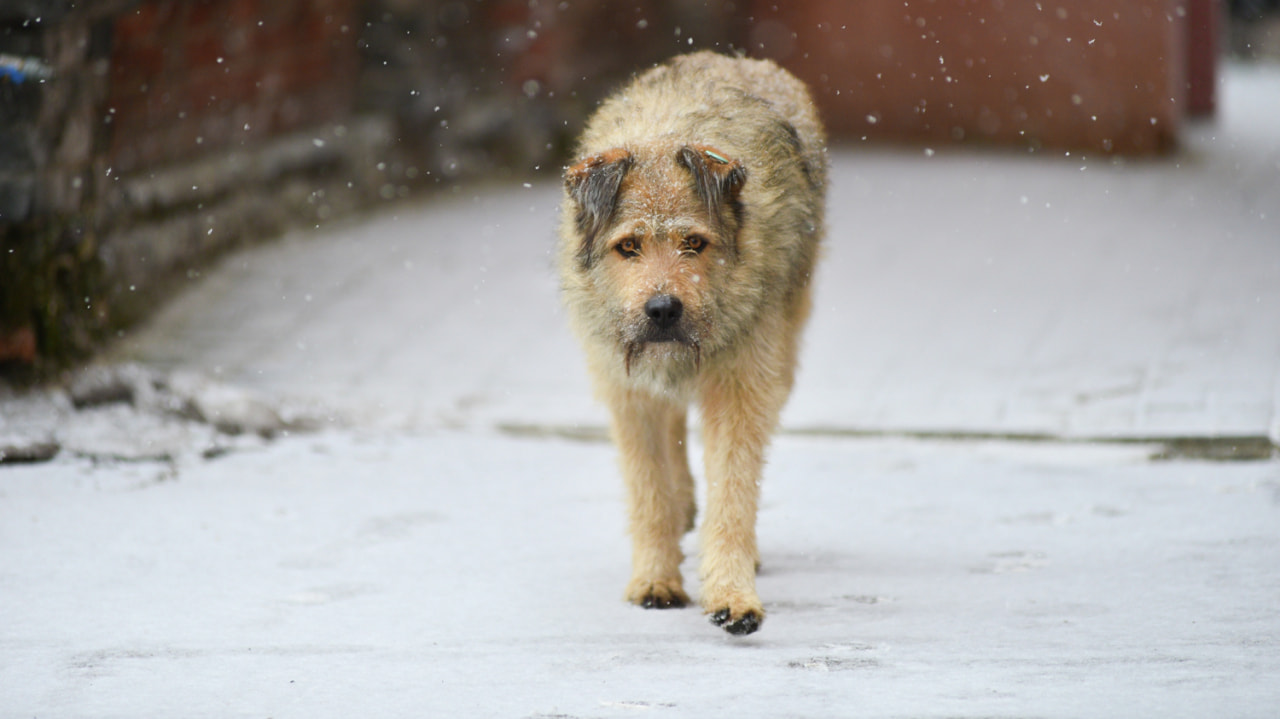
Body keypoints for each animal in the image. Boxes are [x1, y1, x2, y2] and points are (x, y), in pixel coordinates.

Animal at [555, 51, 824, 632]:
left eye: (694, 243)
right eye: (628, 246)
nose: (662, 310)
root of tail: (737, 58)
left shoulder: (741, 386)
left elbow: (734, 489)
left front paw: (731, 592)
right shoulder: (627, 393)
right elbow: (649, 491)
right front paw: (655, 578)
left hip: (784, 354)